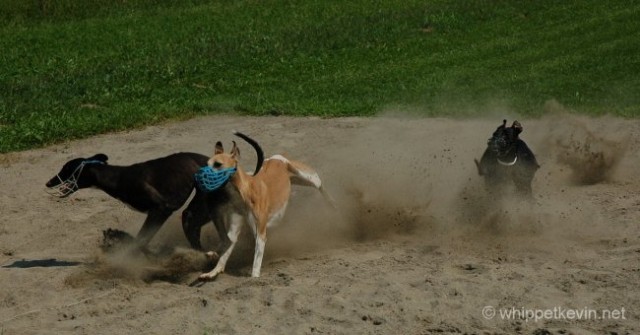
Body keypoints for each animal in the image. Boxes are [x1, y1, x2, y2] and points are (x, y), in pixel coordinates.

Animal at [46, 151, 260, 251]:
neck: (118, 177)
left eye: (66, 168)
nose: (48, 182)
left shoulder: (160, 209)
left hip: (197, 208)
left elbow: (140, 240)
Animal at [195, 133, 336, 280]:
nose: (198, 176)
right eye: (207, 163)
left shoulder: (260, 233)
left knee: (320, 185)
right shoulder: (235, 226)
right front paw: (213, 270)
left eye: (218, 164)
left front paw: (254, 277)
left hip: (307, 177)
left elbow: (256, 261)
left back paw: (333, 206)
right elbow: (225, 250)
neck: (244, 191)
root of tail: (276, 159)